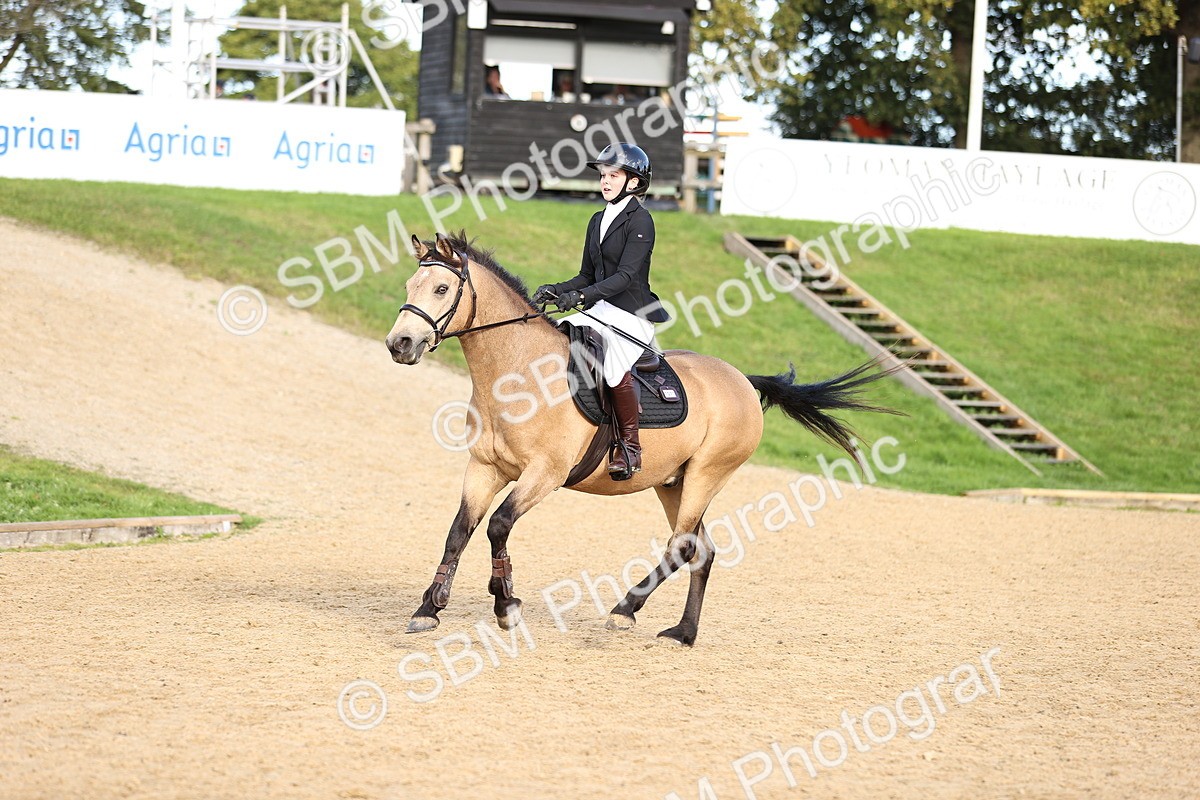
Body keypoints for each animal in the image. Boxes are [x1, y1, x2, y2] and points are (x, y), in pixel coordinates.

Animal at [385, 231, 897, 646]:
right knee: (702, 549)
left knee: (682, 546)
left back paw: (624, 611)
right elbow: (459, 531)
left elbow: (498, 526)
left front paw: (505, 605)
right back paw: (684, 633)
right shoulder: (485, 468)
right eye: (410, 287)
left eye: (442, 288)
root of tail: (741, 380)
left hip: (707, 475)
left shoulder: (544, 474)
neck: (517, 374)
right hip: (673, 483)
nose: (400, 345)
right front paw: (428, 609)